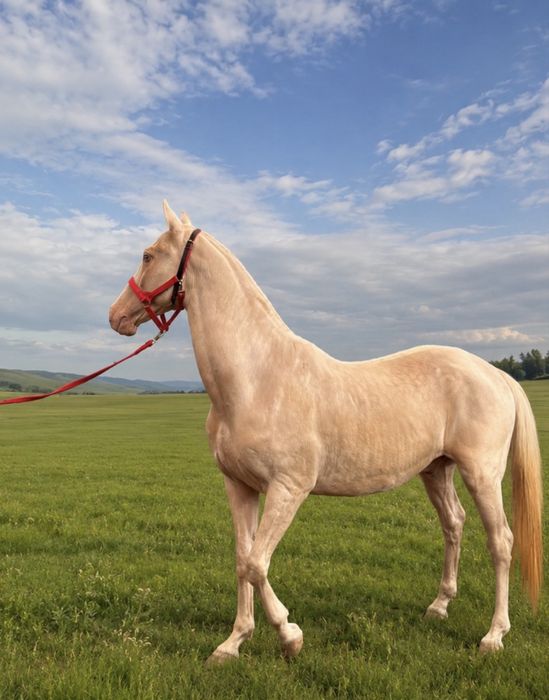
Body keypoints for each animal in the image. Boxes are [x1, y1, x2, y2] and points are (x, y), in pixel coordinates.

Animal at [109, 200, 542, 662]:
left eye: (148, 255)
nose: (116, 316)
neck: (257, 378)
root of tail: (496, 374)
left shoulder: (288, 489)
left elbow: (256, 564)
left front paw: (289, 635)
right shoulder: (239, 486)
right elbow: (243, 559)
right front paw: (233, 643)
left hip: (482, 474)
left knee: (501, 541)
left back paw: (494, 635)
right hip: (436, 469)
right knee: (454, 524)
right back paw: (438, 607)